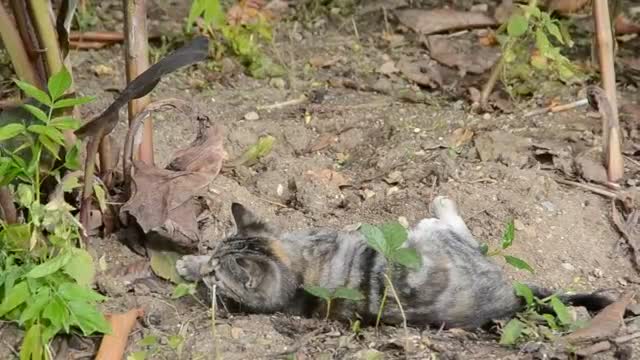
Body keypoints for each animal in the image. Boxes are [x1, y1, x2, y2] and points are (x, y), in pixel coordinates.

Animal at [176, 197, 616, 330]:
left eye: (217, 274)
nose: (207, 268)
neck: (295, 271)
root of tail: (507, 299)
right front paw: (191, 264)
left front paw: (190, 264)